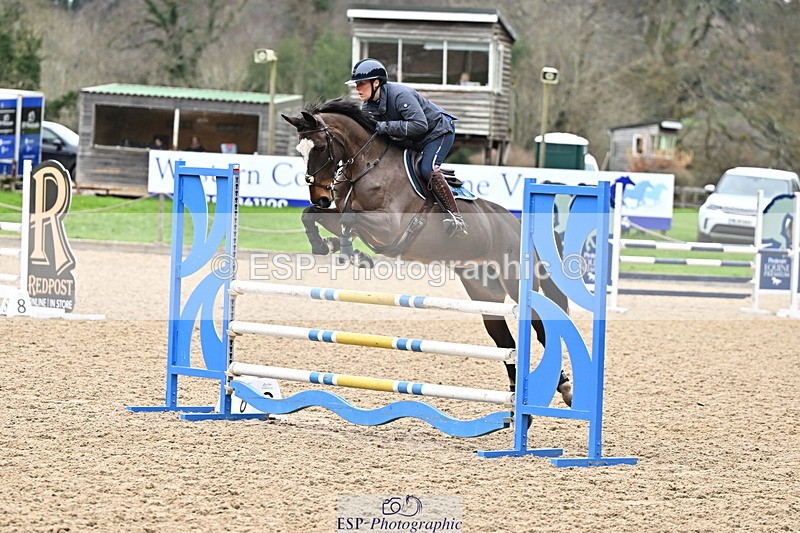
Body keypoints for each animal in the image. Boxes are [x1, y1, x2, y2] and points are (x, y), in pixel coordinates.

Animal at [281, 98, 573, 406]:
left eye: (320, 147)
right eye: (300, 151)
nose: (321, 197)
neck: (367, 166)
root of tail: (517, 224)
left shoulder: (389, 226)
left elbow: (350, 220)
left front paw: (353, 254)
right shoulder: (346, 216)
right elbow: (312, 216)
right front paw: (327, 246)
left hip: (516, 282)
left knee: (541, 327)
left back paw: (564, 387)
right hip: (485, 292)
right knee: (505, 342)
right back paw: (516, 395)